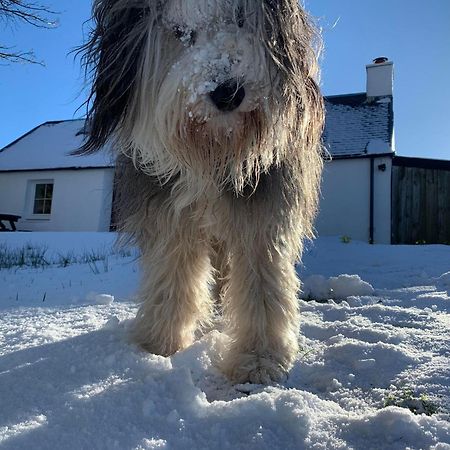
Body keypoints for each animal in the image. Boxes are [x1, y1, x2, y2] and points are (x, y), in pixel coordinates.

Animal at [78, 0, 324, 384]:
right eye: (179, 31)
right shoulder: (167, 209)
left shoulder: (263, 209)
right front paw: (160, 344)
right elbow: (173, 271)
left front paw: (259, 358)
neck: (212, 151)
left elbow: (263, 279)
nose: (227, 92)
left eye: (240, 19)